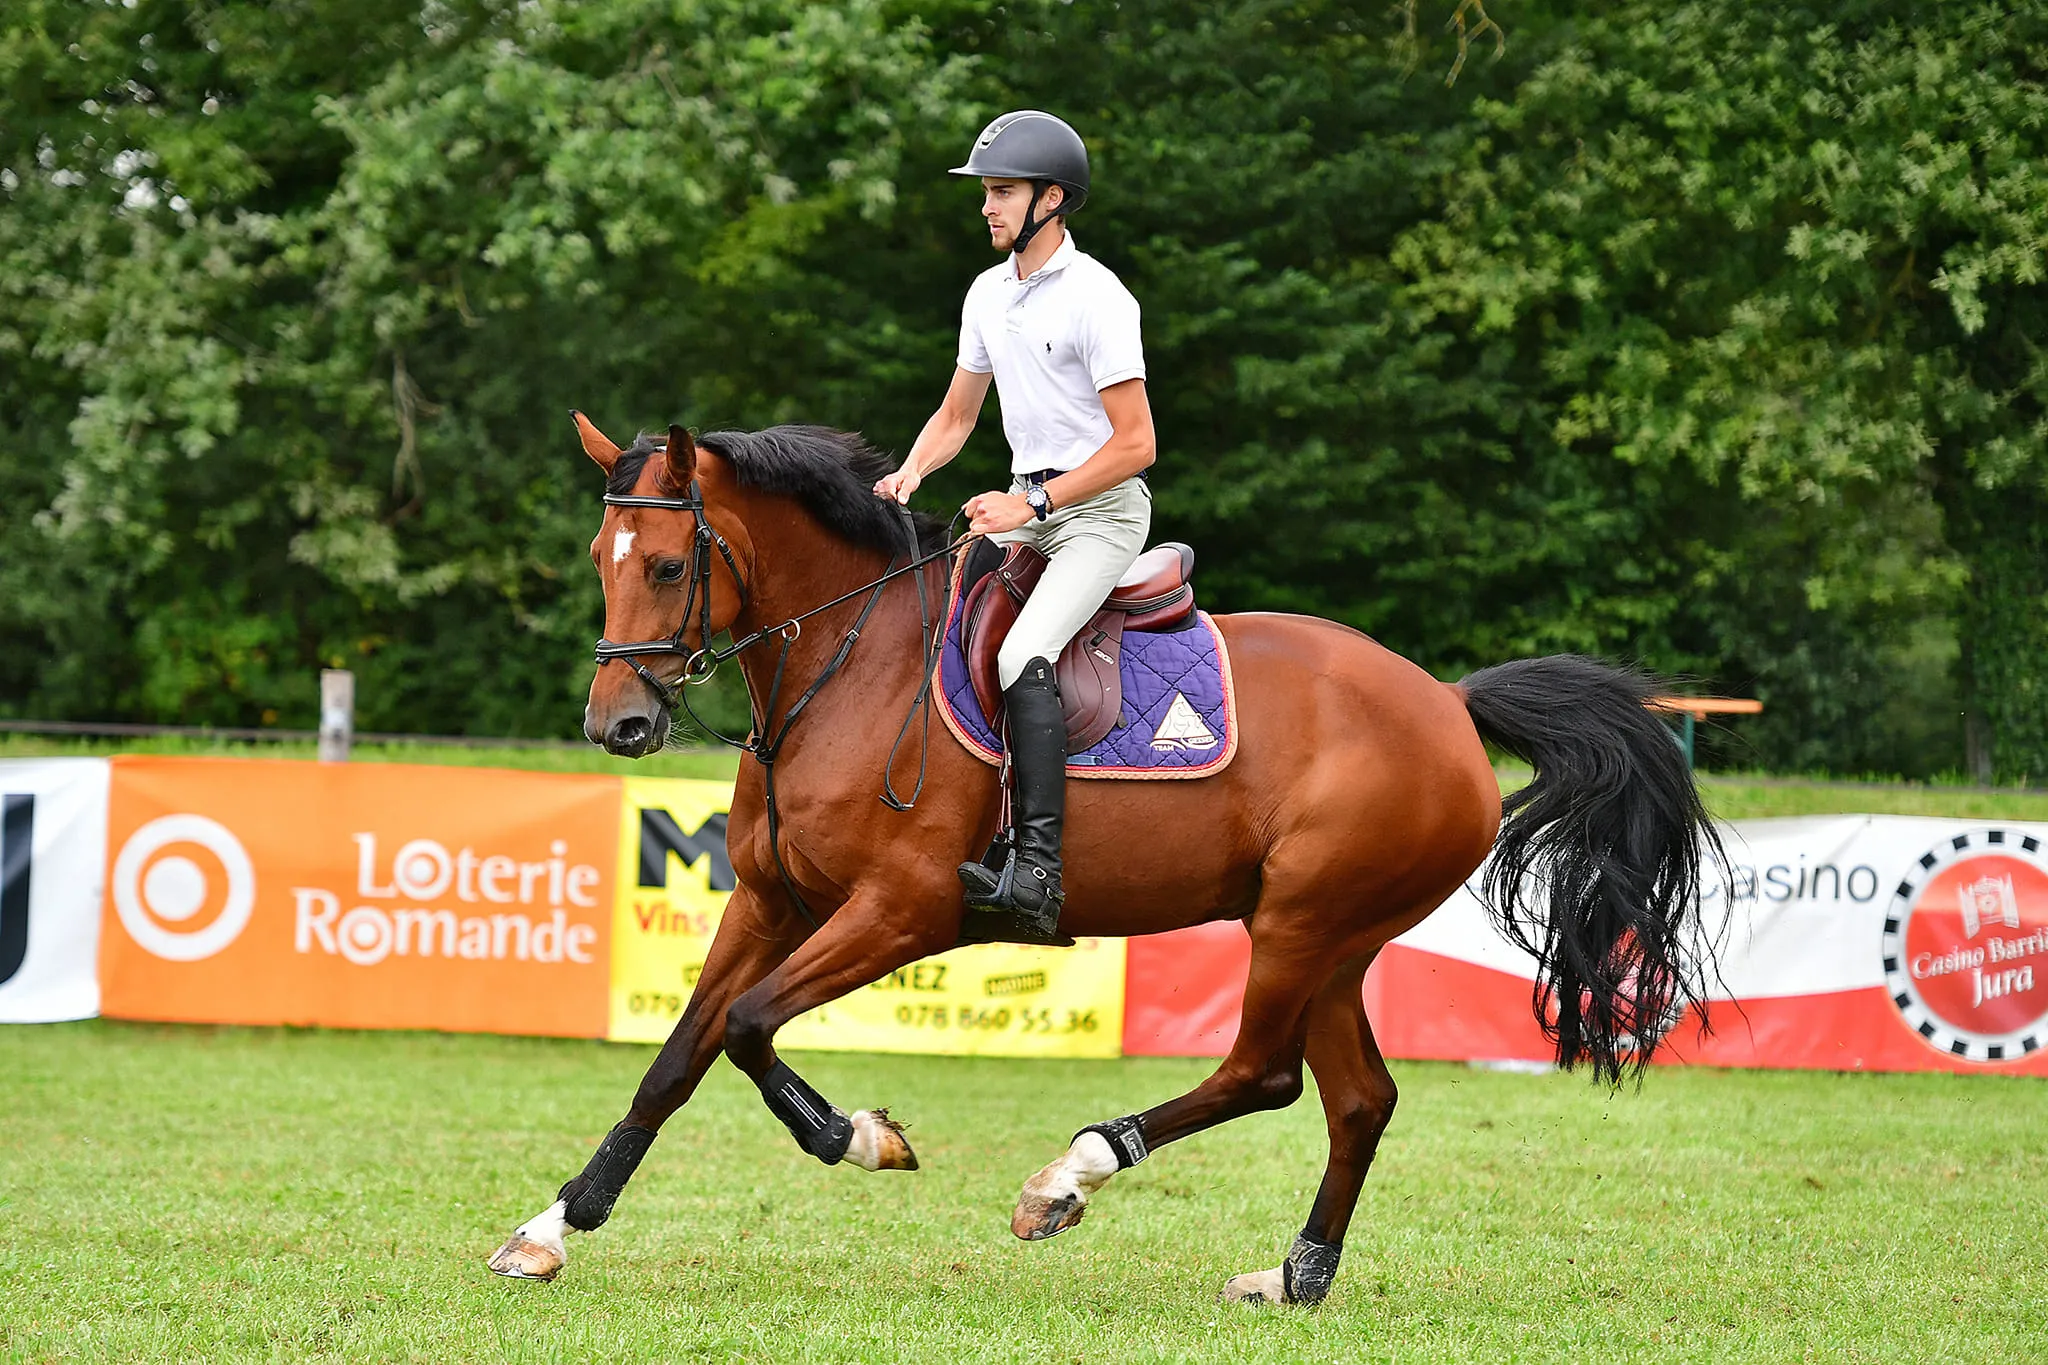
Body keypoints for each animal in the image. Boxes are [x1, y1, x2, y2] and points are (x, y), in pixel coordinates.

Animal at [486, 414, 1723, 1306]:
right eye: (598, 559)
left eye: (663, 564)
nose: (617, 727)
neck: (846, 665)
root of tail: (1448, 705)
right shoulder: (769, 903)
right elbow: (677, 1060)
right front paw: (551, 1229)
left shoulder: (902, 910)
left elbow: (746, 1030)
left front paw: (863, 1140)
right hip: (1332, 939)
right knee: (1356, 1100)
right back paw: (1294, 1274)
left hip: (1300, 923)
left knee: (1263, 1075)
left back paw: (1064, 1179)